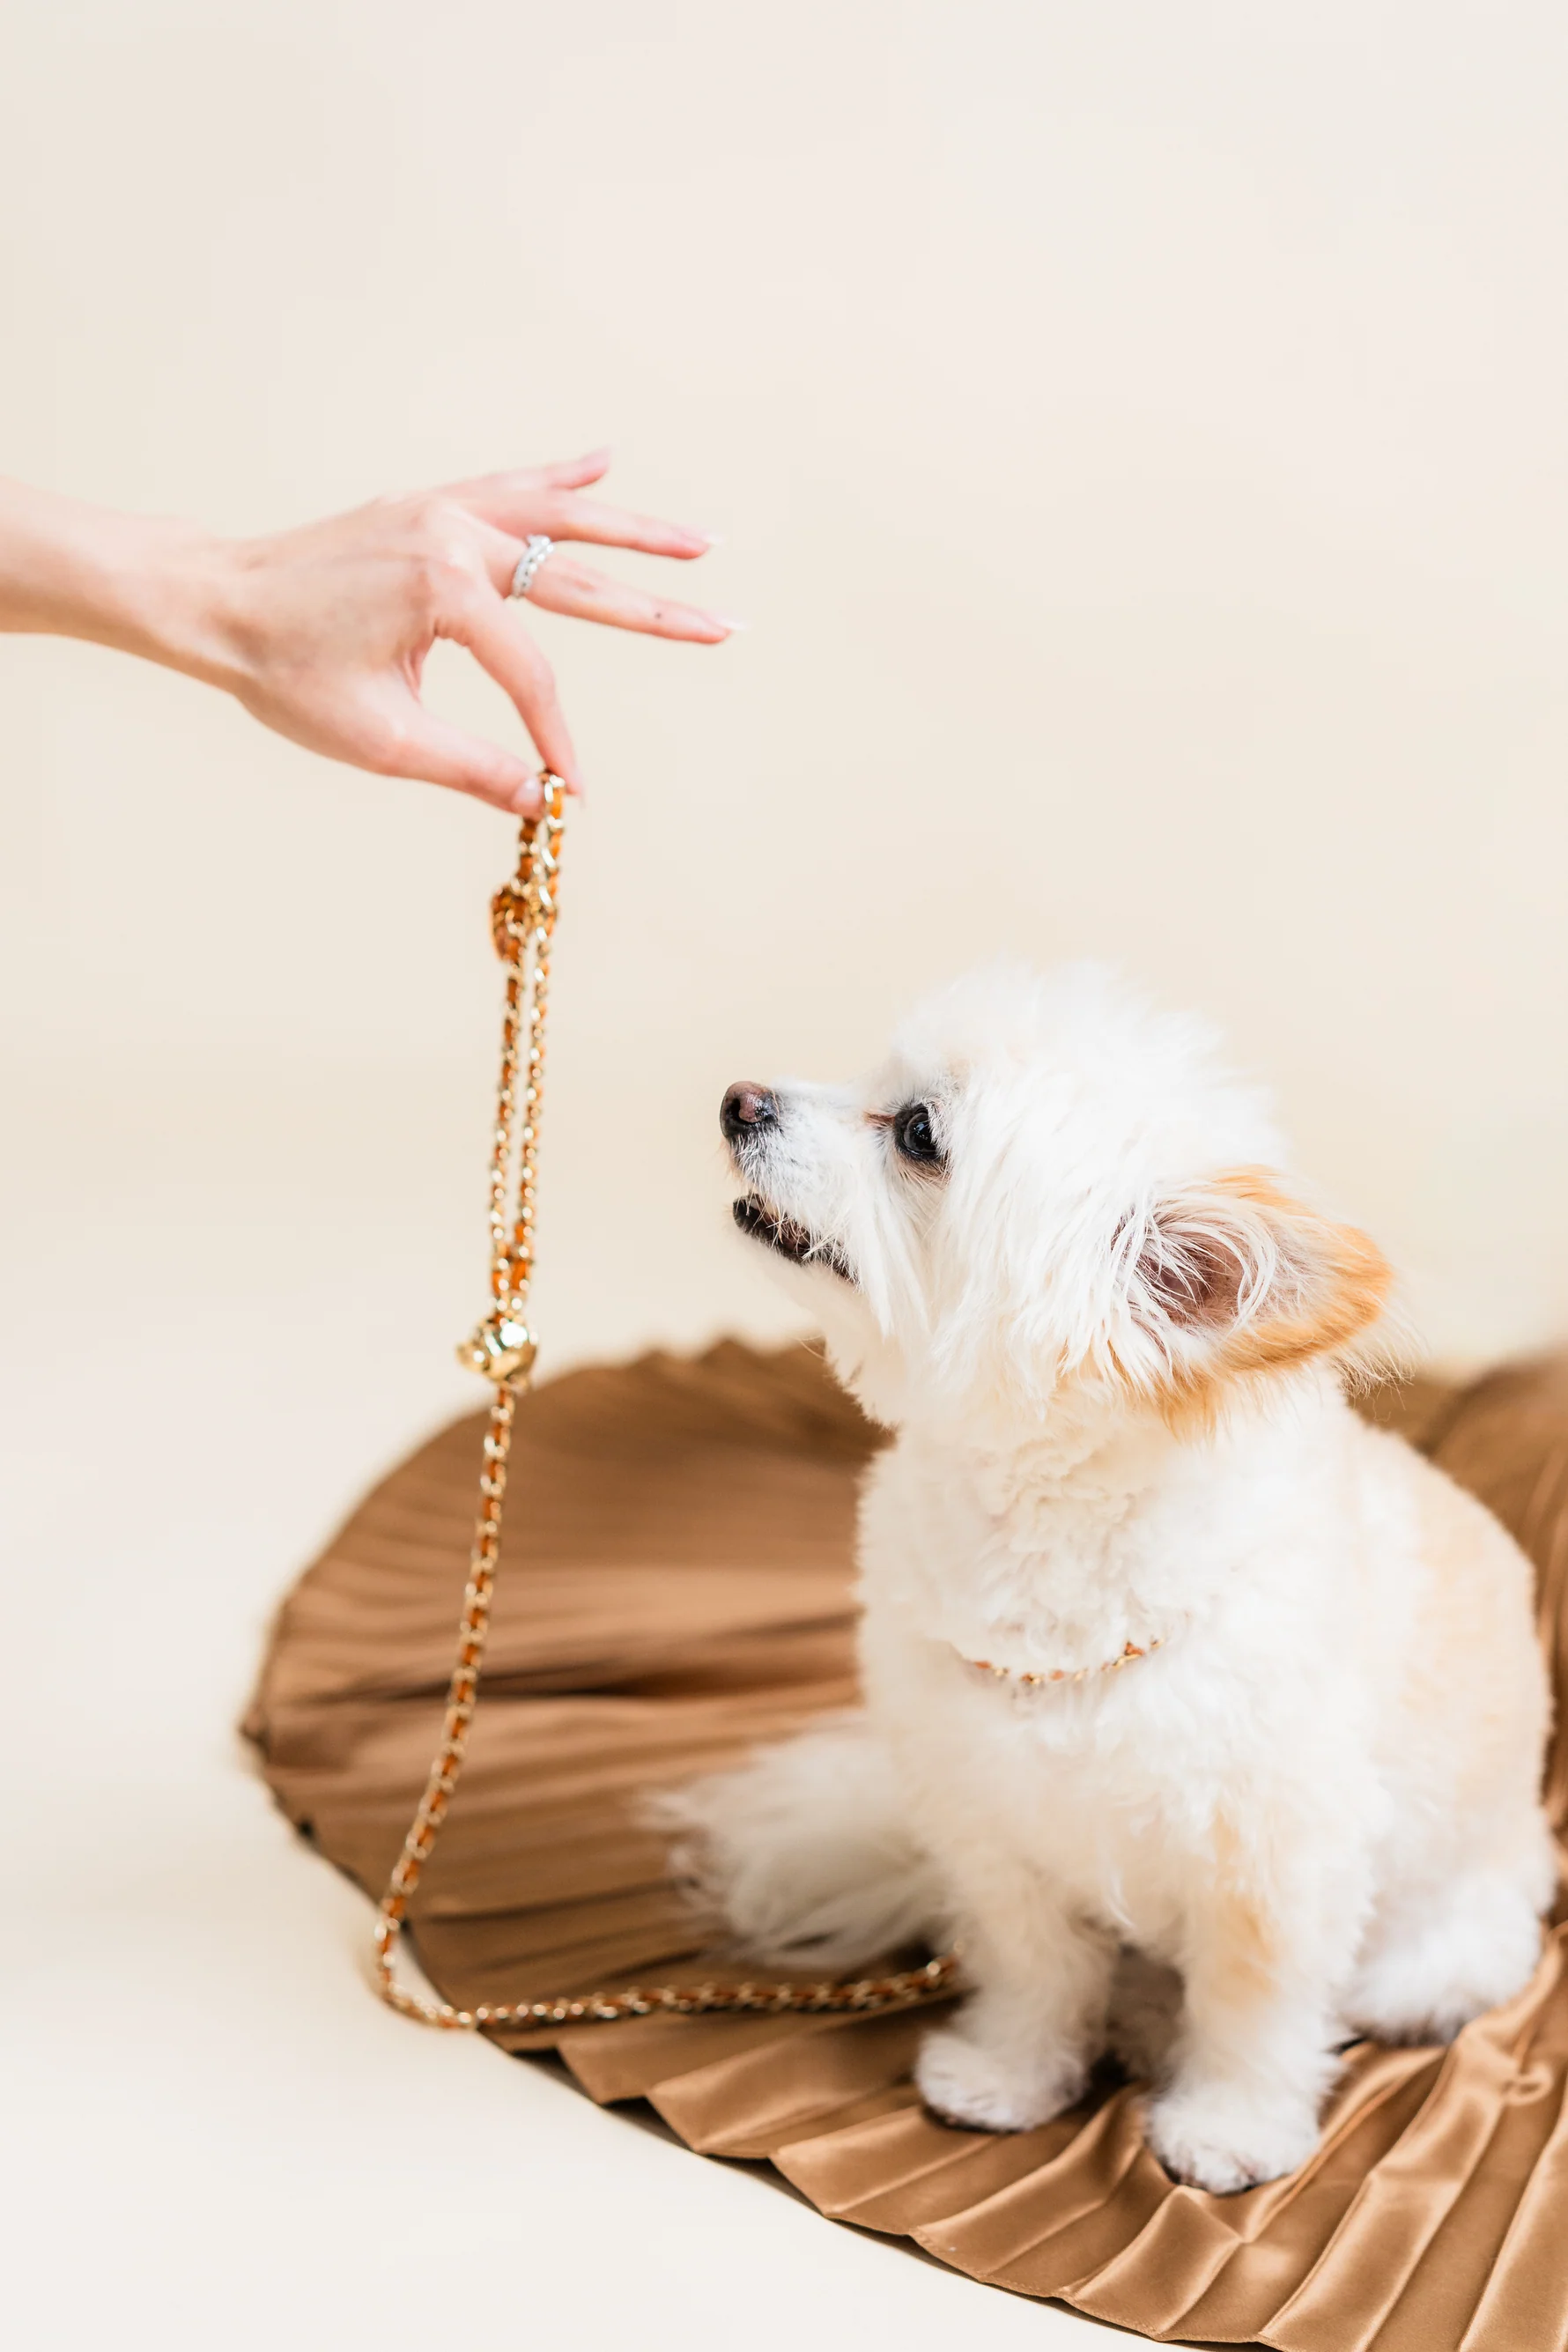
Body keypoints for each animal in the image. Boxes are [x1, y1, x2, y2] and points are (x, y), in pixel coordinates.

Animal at [667, 950, 1560, 2182]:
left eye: (919, 1132)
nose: (738, 1100)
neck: (1047, 1561)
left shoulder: (1277, 1862)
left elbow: (1252, 2008)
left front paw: (1230, 2125)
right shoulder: (990, 1827)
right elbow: (1035, 1969)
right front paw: (1009, 2075)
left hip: (1445, 1933)